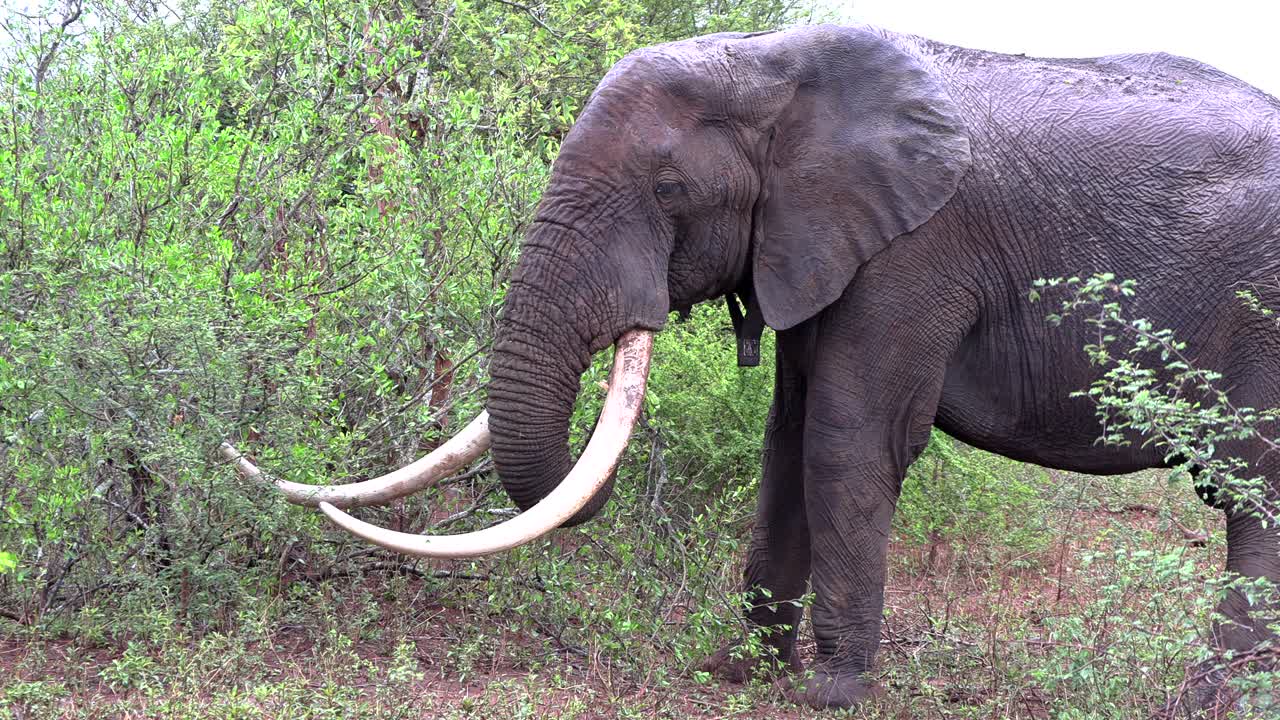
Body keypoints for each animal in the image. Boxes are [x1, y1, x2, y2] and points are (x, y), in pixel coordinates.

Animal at [224, 24, 1280, 710]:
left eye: (668, 189)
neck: (771, 63)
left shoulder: (916, 250)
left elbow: (850, 439)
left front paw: (829, 692)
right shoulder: (817, 237)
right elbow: (789, 432)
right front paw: (746, 671)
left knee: (1255, 492)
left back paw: (1212, 697)